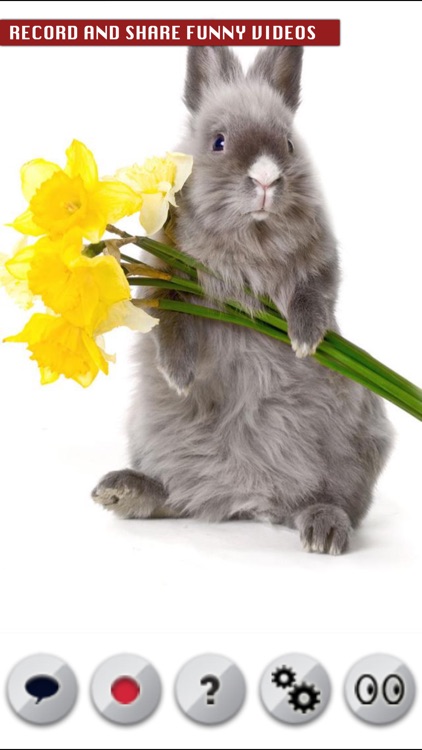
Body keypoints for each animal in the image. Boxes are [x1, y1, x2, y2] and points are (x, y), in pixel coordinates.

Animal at [92, 46, 393, 554]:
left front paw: (304, 341)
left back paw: (324, 531)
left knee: (336, 501)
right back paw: (120, 489)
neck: (252, 237)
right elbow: (168, 321)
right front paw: (179, 375)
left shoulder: (320, 267)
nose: (267, 178)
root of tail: (247, 498)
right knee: (173, 496)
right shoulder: (164, 280)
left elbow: (313, 295)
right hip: (152, 433)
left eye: (289, 144)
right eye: (218, 142)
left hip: (354, 446)